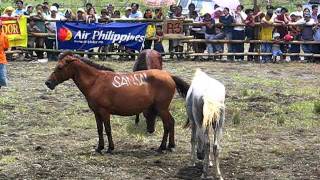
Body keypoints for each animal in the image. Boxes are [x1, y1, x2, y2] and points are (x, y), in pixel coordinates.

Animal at [45, 51, 190, 153]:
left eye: (60, 67)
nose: (48, 83)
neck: (95, 81)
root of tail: (169, 76)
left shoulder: (104, 112)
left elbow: (108, 129)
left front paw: (110, 148)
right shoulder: (96, 113)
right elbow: (99, 129)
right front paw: (99, 147)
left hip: (162, 109)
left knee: (168, 124)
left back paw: (163, 147)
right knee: (170, 124)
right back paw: (170, 145)